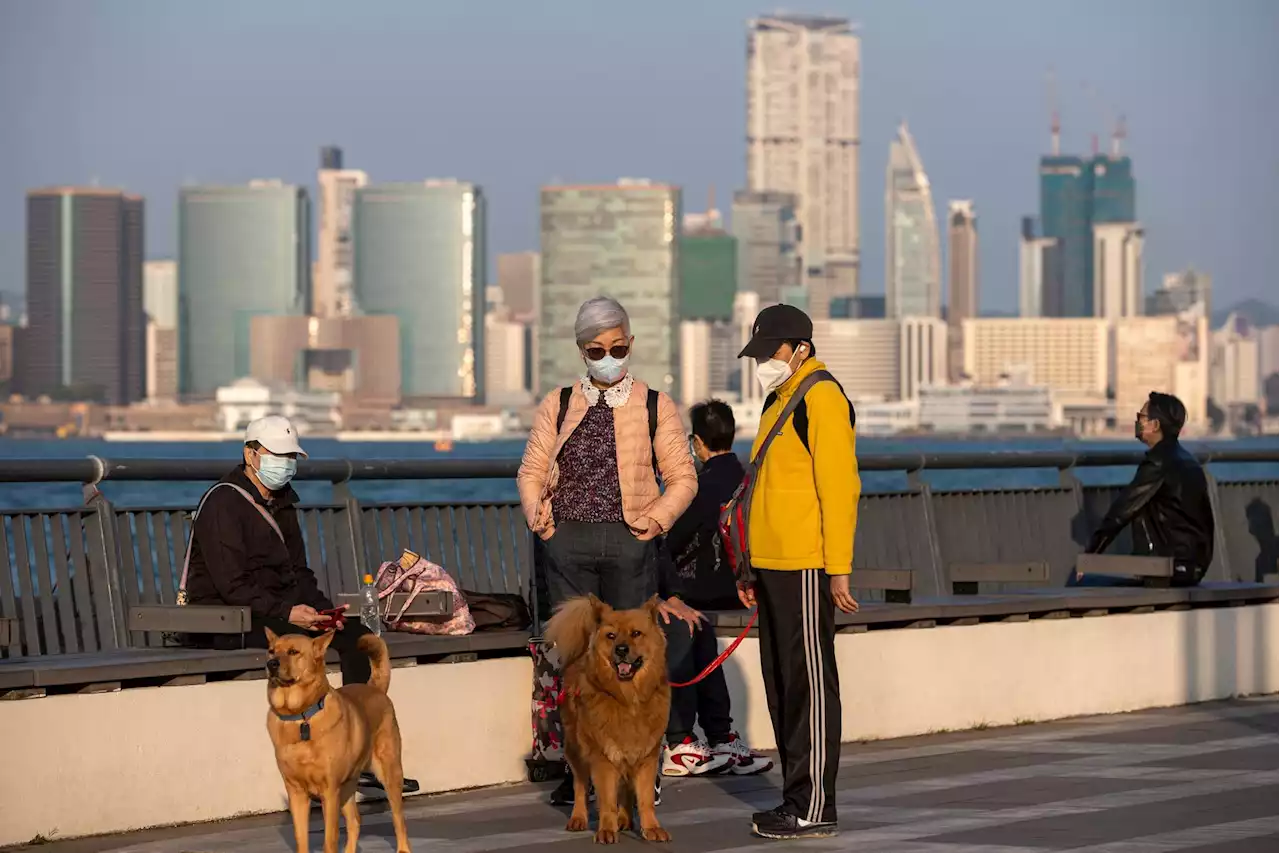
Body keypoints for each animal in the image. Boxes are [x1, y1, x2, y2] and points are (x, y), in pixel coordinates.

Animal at [264, 627, 409, 845]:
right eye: (271, 651)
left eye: (293, 652)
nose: (271, 664)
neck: (301, 716)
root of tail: (374, 688)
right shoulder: (296, 792)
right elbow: (301, 838)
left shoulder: (329, 791)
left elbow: (330, 839)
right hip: (348, 785)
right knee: (355, 821)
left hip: (389, 773)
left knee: (398, 820)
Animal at [545, 594, 675, 840]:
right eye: (611, 636)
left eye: (636, 633)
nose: (621, 649)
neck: (628, 698)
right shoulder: (603, 756)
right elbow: (606, 799)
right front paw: (606, 830)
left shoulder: (645, 755)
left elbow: (644, 799)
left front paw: (651, 828)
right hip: (576, 749)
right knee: (580, 786)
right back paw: (579, 818)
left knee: (625, 790)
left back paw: (625, 820)